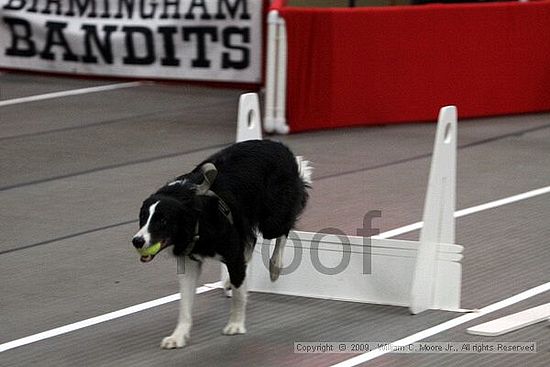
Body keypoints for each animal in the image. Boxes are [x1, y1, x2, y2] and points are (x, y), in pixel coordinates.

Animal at [132, 139, 312, 350]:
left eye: (163, 221)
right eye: (143, 218)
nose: (137, 241)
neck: (195, 214)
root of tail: (280, 145)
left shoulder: (232, 252)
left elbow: (239, 293)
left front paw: (235, 324)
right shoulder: (189, 260)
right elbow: (185, 303)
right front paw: (178, 336)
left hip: (273, 216)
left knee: (283, 230)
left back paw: (275, 266)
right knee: (252, 242)